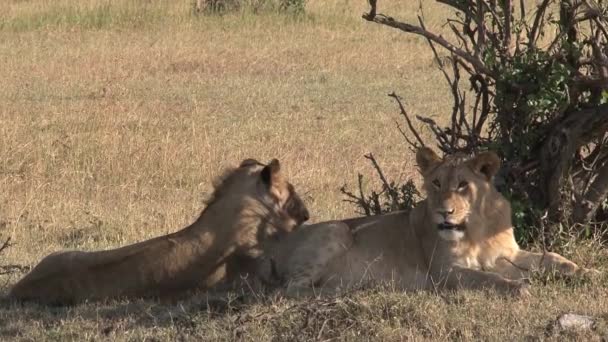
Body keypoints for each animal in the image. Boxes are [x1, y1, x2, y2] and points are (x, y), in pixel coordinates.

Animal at [264, 147, 592, 296]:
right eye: (435, 183)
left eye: (462, 185)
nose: (444, 212)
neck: (476, 228)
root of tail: (277, 246)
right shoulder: (445, 272)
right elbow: (487, 278)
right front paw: (519, 287)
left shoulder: (507, 254)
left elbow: (552, 257)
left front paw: (584, 272)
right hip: (337, 230)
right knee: (290, 290)